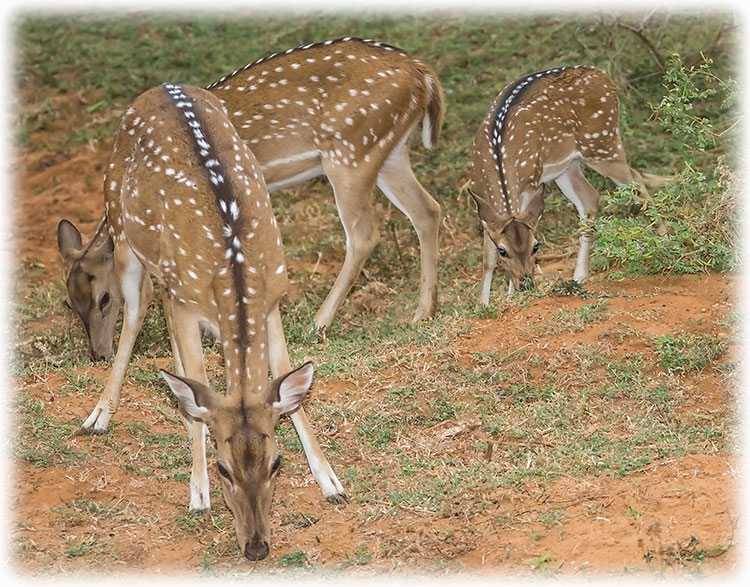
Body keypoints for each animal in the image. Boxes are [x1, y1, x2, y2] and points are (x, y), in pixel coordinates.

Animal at [58, 81, 346, 560]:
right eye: (224, 468)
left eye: (277, 462)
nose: (256, 547)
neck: (234, 270)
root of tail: (160, 87)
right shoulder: (186, 300)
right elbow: (196, 379)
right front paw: (197, 492)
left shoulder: (271, 298)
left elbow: (286, 377)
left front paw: (331, 481)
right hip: (123, 231)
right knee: (137, 315)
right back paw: (99, 415)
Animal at [209, 38, 446, 336]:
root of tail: (421, 72)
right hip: (389, 152)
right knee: (427, 210)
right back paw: (424, 311)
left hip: (350, 153)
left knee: (364, 236)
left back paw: (318, 322)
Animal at [470, 65, 664, 304]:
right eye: (502, 251)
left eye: (536, 246)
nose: (526, 285)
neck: (498, 154)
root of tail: (606, 78)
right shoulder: (482, 196)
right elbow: (486, 259)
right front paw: (482, 305)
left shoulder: (531, 183)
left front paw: (509, 298)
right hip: (567, 166)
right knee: (590, 197)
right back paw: (579, 276)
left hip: (603, 144)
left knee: (635, 180)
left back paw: (665, 241)